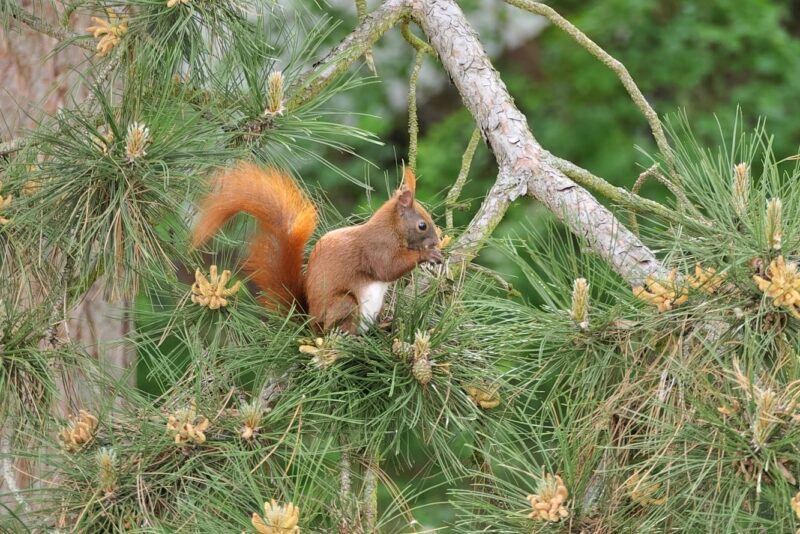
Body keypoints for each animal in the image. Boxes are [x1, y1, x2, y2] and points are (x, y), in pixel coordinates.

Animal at [192, 161, 443, 334]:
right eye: (422, 225)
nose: (437, 242)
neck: (392, 229)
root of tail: (312, 326)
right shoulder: (377, 247)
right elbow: (387, 268)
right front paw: (426, 255)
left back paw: (382, 326)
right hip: (344, 304)